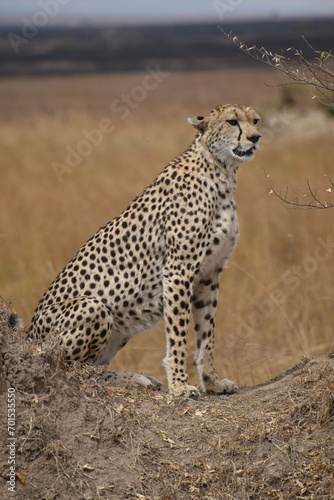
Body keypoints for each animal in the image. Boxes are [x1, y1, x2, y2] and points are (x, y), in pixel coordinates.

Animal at [28, 104, 260, 398]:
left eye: (256, 120)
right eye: (232, 121)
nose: (255, 137)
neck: (222, 170)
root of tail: (27, 339)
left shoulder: (209, 274)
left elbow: (207, 332)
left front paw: (212, 381)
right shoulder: (178, 270)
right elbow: (178, 333)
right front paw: (180, 385)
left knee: (92, 369)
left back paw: (137, 379)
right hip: (93, 307)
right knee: (74, 371)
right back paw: (134, 378)